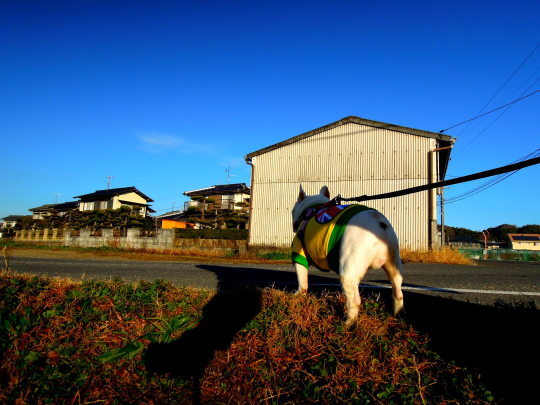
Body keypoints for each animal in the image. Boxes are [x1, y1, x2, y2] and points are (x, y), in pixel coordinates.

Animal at [294, 185, 402, 324]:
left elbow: (302, 281)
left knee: (354, 301)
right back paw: (396, 315)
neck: (314, 206)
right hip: (393, 261)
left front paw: (298, 296)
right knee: (397, 287)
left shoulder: (298, 253)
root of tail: (378, 223)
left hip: (349, 269)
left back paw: (348, 323)